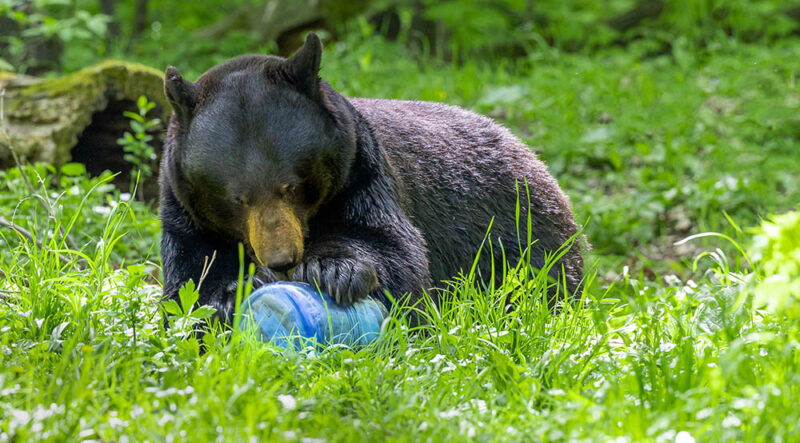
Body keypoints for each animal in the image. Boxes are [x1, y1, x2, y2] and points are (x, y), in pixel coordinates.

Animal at [158, 32, 580, 322]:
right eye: (237, 198)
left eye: (291, 186)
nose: (281, 260)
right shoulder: (184, 213)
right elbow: (189, 280)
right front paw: (233, 293)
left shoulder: (363, 172)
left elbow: (393, 248)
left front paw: (335, 270)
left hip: (526, 239)